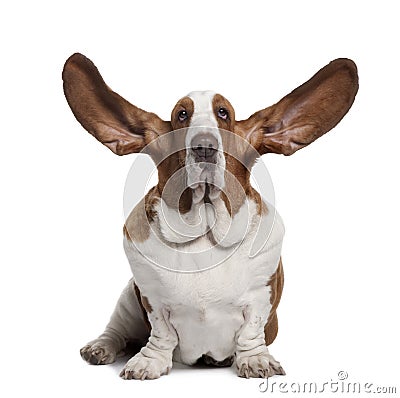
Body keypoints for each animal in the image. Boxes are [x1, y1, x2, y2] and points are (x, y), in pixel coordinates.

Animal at [63, 53, 360, 380]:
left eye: (223, 113)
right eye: (181, 115)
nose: (204, 146)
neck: (205, 230)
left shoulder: (261, 295)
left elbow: (251, 331)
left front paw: (256, 361)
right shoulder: (152, 298)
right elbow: (161, 333)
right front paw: (148, 362)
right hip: (128, 297)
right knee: (117, 329)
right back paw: (100, 347)